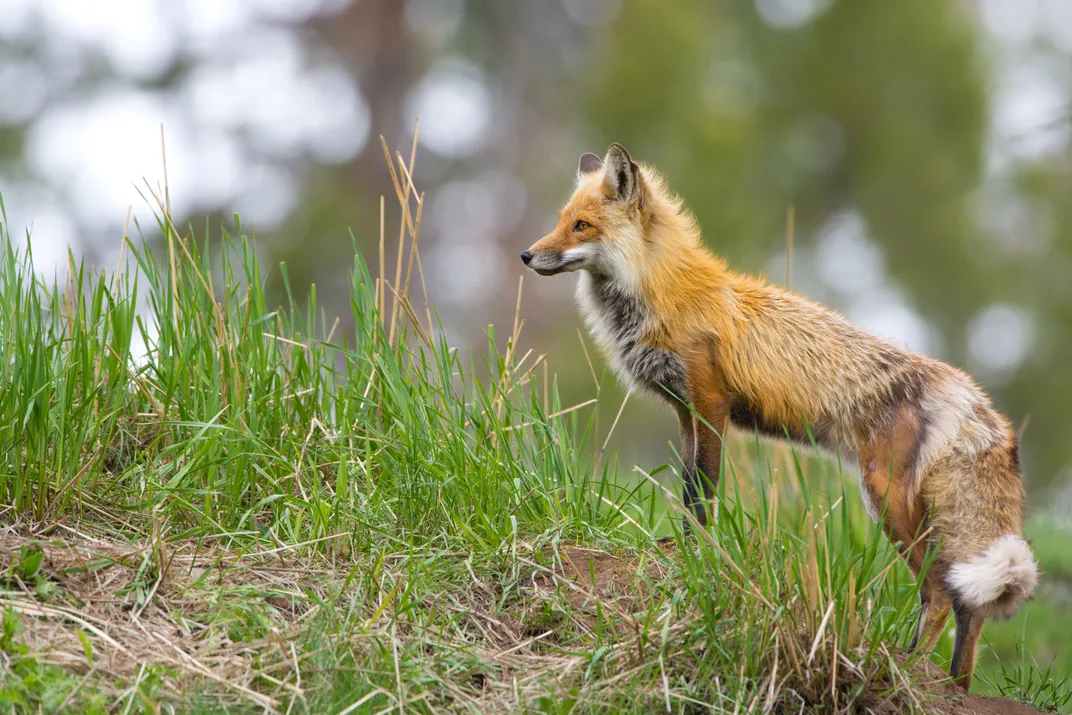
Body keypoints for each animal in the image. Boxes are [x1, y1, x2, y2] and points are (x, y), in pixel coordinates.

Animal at [520, 143, 1038, 691]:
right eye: (561, 222)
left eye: (581, 226)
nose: (527, 255)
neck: (663, 293)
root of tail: (972, 397)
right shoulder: (685, 413)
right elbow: (687, 490)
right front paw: (681, 547)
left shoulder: (711, 406)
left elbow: (703, 493)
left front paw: (697, 554)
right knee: (969, 607)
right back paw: (954, 686)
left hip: (886, 498)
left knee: (939, 594)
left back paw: (907, 668)